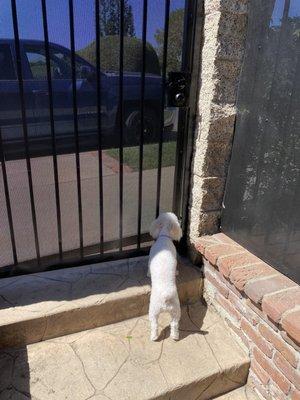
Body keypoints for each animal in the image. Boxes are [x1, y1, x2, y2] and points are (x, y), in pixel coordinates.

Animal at [147, 212, 182, 340]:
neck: (164, 236)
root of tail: (165, 296)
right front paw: (176, 272)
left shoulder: (150, 257)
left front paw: (148, 274)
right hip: (176, 311)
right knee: (175, 324)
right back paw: (175, 336)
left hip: (153, 310)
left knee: (154, 324)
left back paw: (153, 337)